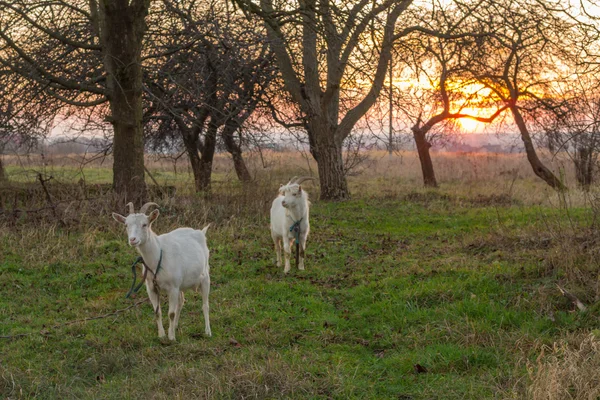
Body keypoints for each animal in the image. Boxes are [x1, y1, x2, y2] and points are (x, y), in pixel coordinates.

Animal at [111, 203, 212, 340]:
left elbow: (171, 313)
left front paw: (171, 337)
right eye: (126, 225)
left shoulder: (173, 287)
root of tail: (200, 232)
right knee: (181, 301)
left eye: (145, 224)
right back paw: (175, 326)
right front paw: (162, 335)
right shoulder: (151, 287)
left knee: (205, 305)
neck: (158, 255)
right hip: (180, 284)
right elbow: (157, 312)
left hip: (205, 277)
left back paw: (207, 331)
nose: (133, 239)